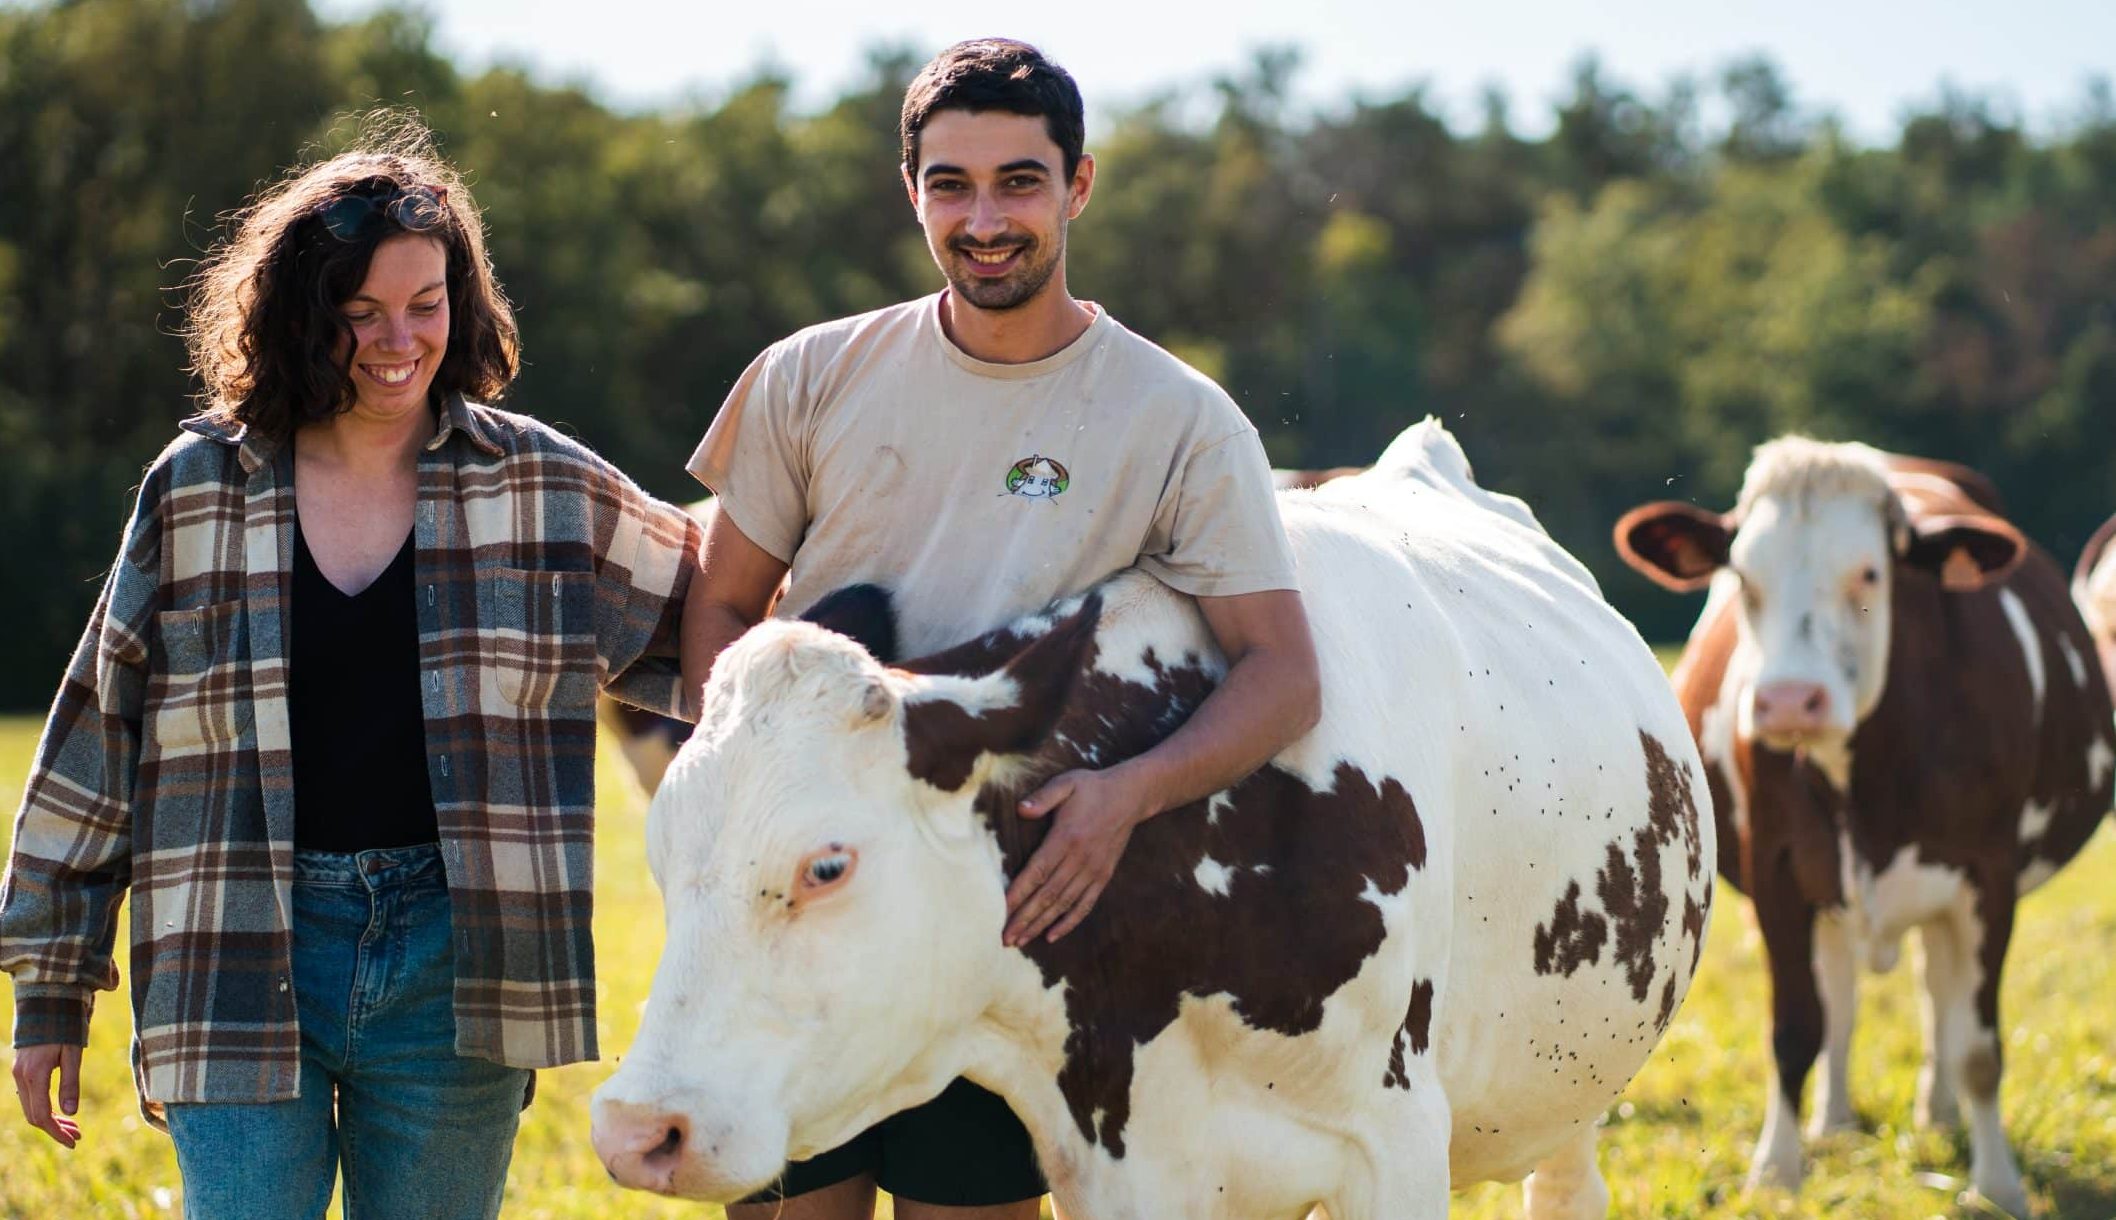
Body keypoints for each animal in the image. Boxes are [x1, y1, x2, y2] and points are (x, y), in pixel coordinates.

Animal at [587, 419, 1713, 1219]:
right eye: (661, 859)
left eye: (826, 866)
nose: (637, 1128)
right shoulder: (1115, 1165)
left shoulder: (1393, 1146)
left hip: (1570, 1090)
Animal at [1615, 438, 2113, 1215]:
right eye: (1743, 579)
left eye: (1870, 572)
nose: (1790, 700)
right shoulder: (1779, 871)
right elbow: (1797, 1029)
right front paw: (1776, 1170)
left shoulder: (1989, 876)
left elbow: (1979, 1046)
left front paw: (1997, 1184)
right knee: (1842, 1001)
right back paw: (1834, 1119)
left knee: (1938, 996)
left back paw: (1937, 1112)